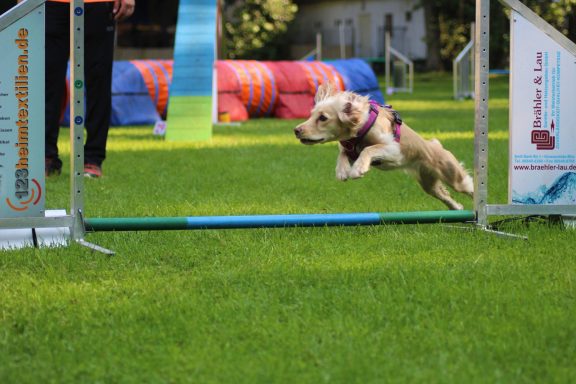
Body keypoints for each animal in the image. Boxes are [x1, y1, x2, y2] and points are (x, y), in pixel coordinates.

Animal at [294, 83, 474, 210]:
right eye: (311, 115)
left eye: (323, 118)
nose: (296, 130)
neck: (360, 129)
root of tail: (436, 145)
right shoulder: (349, 149)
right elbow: (342, 154)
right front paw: (342, 171)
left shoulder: (394, 150)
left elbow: (369, 149)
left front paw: (358, 169)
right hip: (428, 183)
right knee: (445, 195)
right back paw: (458, 207)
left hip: (455, 177)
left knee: (469, 186)